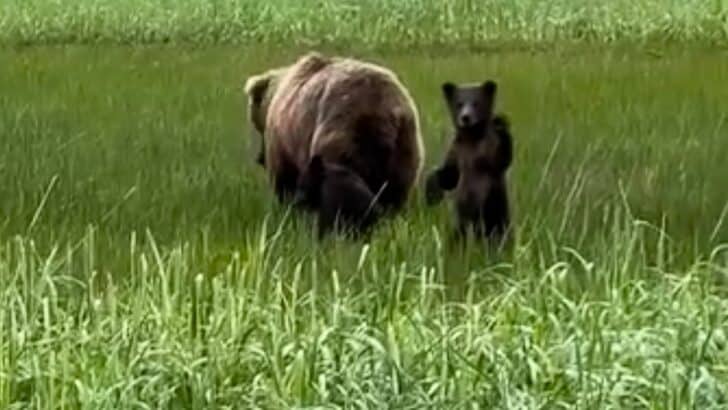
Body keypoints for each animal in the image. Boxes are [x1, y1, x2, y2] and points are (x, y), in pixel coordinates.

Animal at [244, 52, 425, 235]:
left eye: (257, 125)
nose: (260, 158)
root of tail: (381, 113)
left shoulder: (283, 140)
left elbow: (284, 180)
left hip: (340, 135)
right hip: (404, 146)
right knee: (396, 194)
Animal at [425, 80, 513, 246]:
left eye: (476, 103)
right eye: (459, 103)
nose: (465, 117)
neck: (471, 137)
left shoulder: (488, 154)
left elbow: (502, 159)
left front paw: (501, 124)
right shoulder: (457, 152)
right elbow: (449, 176)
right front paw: (432, 194)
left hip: (495, 213)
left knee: (498, 233)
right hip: (462, 224)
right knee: (457, 237)